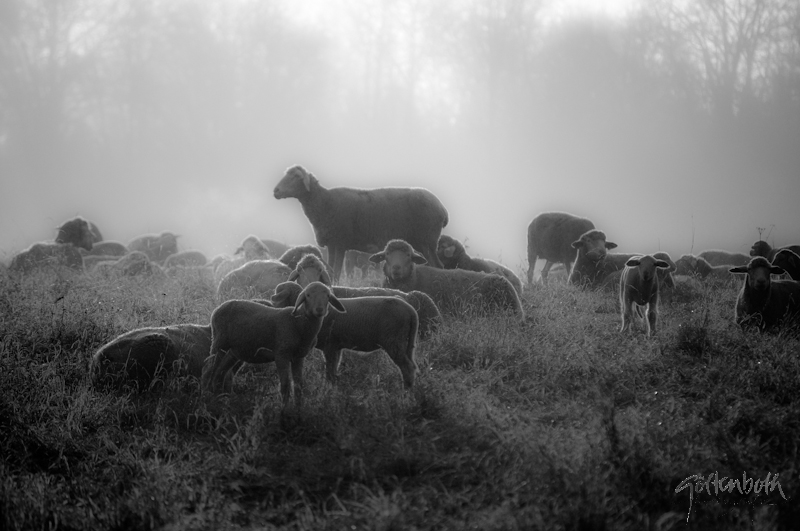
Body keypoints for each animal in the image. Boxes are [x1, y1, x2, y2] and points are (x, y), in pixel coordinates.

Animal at [202, 282, 346, 408]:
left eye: (327, 295)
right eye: (308, 295)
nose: (320, 310)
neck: (298, 322)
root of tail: (219, 307)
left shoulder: (298, 357)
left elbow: (298, 385)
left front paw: (298, 408)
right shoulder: (281, 354)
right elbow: (285, 385)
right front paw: (284, 410)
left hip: (234, 350)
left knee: (221, 373)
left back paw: (222, 399)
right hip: (219, 342)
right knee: (208, 370)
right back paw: (205, 396)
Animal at [268, 282, 418, 390]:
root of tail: (411, 310)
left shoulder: (329, 346)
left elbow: (329, 372)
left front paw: (327, 391)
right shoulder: (336, 346)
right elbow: (334, 370)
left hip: (394, 341)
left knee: (407, 367)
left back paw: (407, 393)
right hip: (404, 342)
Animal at [274, 165, 450, 282]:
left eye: (295, 177)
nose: (275, 191)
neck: (325, 202)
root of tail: (442, 208)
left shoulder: (340, 243)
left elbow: (336, 271)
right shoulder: (332, 244)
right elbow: (330, 269)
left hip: (427, 241)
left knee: (438, 266)